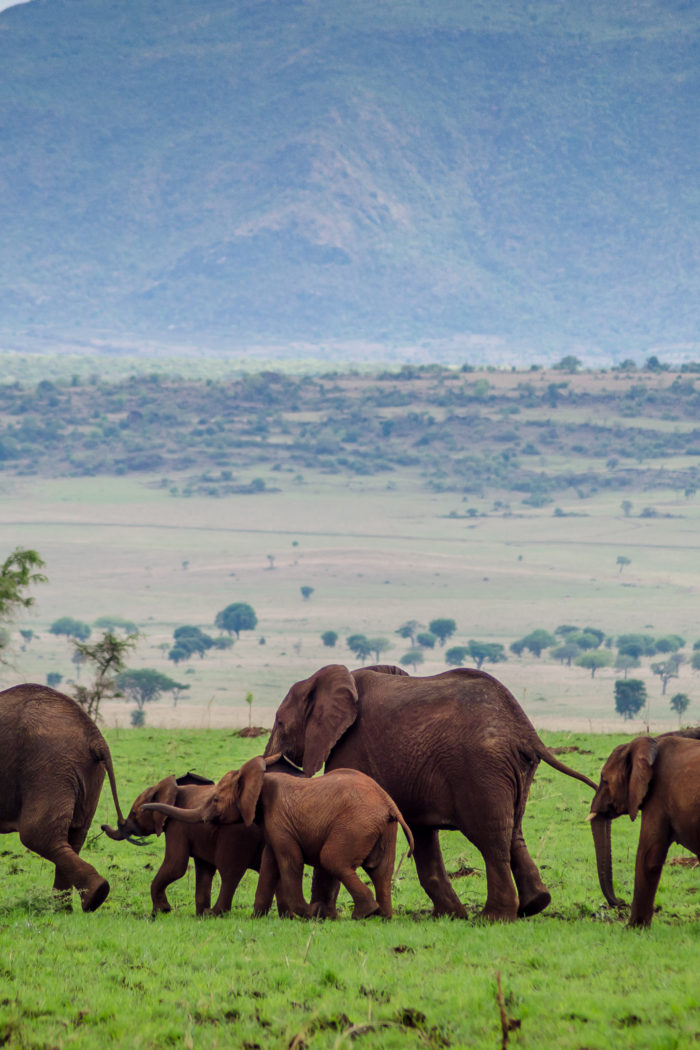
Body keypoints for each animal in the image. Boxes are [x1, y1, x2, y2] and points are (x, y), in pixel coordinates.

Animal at [0, 680, 128, 911]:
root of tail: (95, 737)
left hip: (49, 767)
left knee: (38, 834)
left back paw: (93, 896)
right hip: (86, 773)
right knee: (74, 835)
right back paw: (66, 907)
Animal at [103, 768, 265, 915]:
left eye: (135, 813)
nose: (103, 826)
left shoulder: (176, 826)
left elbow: (176, 865)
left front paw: (161, 911)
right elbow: (203, 869)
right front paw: (200, 916)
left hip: (237, 834)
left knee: (229, 872)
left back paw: (215, 913)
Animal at [144, 755, 413, 919]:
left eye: (216, 799)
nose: (146, 807)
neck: (259, 778)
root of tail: (389, 804)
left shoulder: (279, 819)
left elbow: (289, 861)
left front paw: (309, 913)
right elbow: (270, 862)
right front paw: (256, 917)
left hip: (356, 825)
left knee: (332, 859)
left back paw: (364, 914)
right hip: (383, 829)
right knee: (381, 871)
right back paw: (382, 917)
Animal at [262, 663, 596, 919]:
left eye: (280, 722)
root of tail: (524, 729)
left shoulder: (352, 748)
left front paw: (321, 916)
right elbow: (422, 835)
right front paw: (448, 917)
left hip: (481, 770)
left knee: (491, 839)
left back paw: (492, 918)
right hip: (512, 773)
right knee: (513, 832)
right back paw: (533, 905)